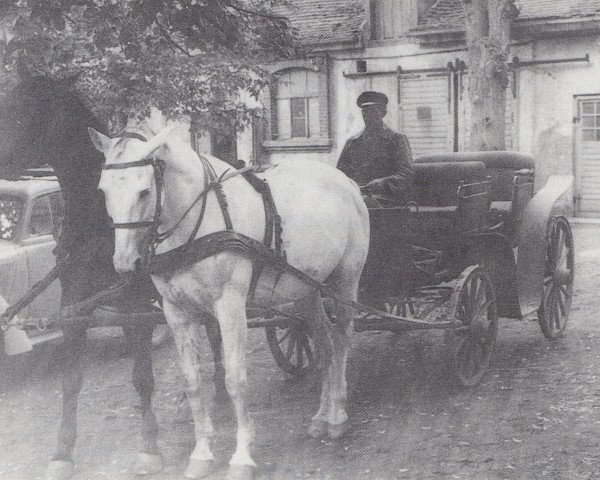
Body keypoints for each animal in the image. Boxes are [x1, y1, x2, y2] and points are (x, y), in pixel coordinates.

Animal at [0, 75, 223, 480]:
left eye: (20, 110)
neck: (99, 220)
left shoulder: (135, 304)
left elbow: (142, 376)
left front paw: (149, 448)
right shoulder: (73, 304)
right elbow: (71, 380)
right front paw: (62, 453)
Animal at [89, 126, 370, 480]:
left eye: (144, 191)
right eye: (103, 191)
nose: (126, 265)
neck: (198, 221)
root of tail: (347, 183)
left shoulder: (230, 307)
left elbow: (235, 380)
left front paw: (242, 457)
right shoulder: (176, 312)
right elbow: (193, 382)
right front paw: (201, 454)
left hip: (345, 283)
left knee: (343, 340)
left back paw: (338, 415)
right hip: (305, 291)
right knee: (326, 346)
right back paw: (322, 416)